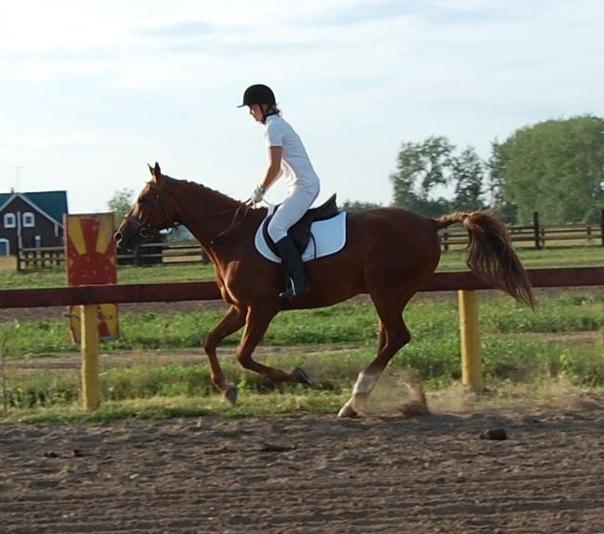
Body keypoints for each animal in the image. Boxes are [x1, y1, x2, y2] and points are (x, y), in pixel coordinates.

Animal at [115, 163, 535, 417]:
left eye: (145, 199)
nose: (121, 237)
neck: (231, 237)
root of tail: (431, 223)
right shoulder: (240, 308)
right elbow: (209, 342)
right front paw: (226, 390)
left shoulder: (261, 309)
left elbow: (244, 356)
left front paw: (300, 376)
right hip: (387, 296)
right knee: (388, 339)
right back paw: (359, 399)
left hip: (387, 292)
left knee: (397, 337)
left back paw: (356, 397)